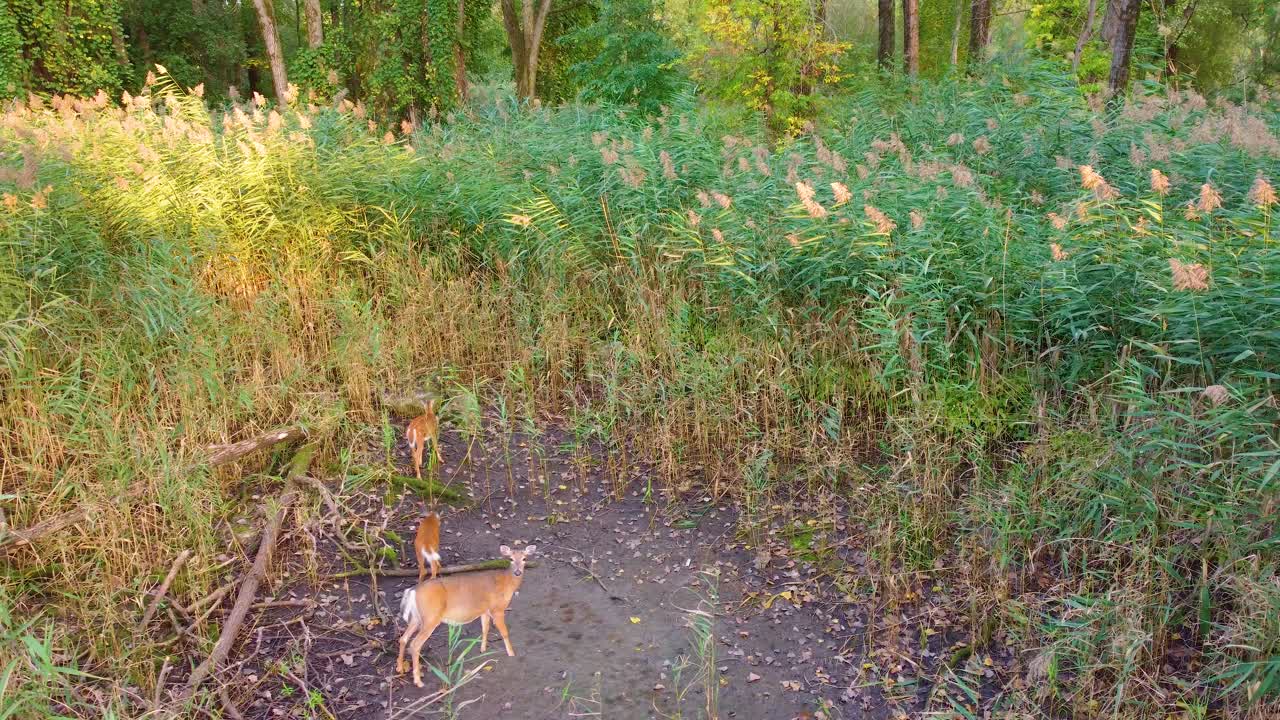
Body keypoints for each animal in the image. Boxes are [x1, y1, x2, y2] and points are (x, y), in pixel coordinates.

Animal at [396, 544, 536, 688]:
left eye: (524, 558)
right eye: (510, 559)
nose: (518, 572)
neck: (506, 584)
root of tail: (412, 591)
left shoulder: (484, 610)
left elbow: (484, 629)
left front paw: (482, 650)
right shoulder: (497, 609)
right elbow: (504, 632)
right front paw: (511, 653)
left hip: (417, 618)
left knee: (403, 639)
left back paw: (400, 668)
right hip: (431, 617)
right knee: (415, 645)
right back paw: (418, 681)